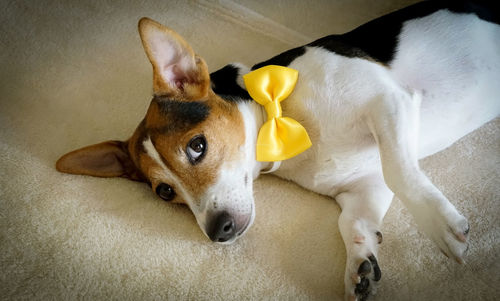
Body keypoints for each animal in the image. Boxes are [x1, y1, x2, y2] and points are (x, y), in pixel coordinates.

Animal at [55, 0, 500, 298]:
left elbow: (401, 172)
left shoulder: (389, 101)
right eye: (165, 192)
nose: (218, 232)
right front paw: (359, 268)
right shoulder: (364, 186)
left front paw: (441, 226)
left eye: (197, 146)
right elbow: (353, 223)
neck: (282, 121)